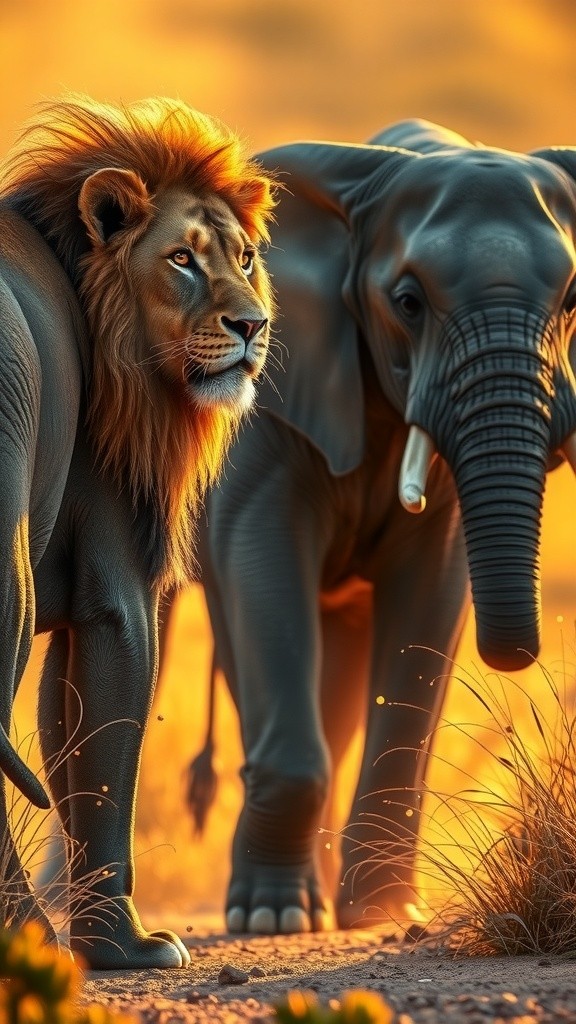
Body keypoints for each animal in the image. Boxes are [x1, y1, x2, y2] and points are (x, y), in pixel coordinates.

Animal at [0, 95, 275, 968]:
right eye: (181, 259)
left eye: (245, 257)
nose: (252, 325)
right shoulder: (117, 586)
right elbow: (105, 760)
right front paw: (121, 945)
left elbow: (64, 744)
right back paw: (26, 936)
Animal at [172, 118, 576, 935]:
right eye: (408, 302)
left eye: (575, 298)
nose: (519, 654)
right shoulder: (268, 410)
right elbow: (259, 556)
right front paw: (270, 917)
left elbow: (432, 590)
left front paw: (383, 910)